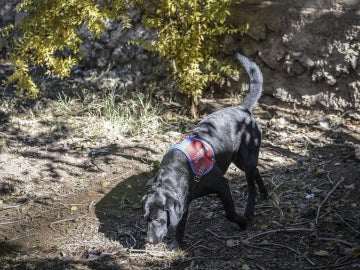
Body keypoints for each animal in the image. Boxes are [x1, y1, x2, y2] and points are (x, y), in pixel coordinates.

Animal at [143, 53, 268, 249]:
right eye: (146, 219)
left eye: (157, 219)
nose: (148, 240)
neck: (179, 170)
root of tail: (242, 108)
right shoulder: (183, 201)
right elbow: (181, 223)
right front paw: (177, 245)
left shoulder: (222, 185)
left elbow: (229, 212)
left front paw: (241, 222)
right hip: (238, 159)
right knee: (256, 171)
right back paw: (265, 193)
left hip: (247, 157)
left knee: (251, 184)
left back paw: (249, 211)